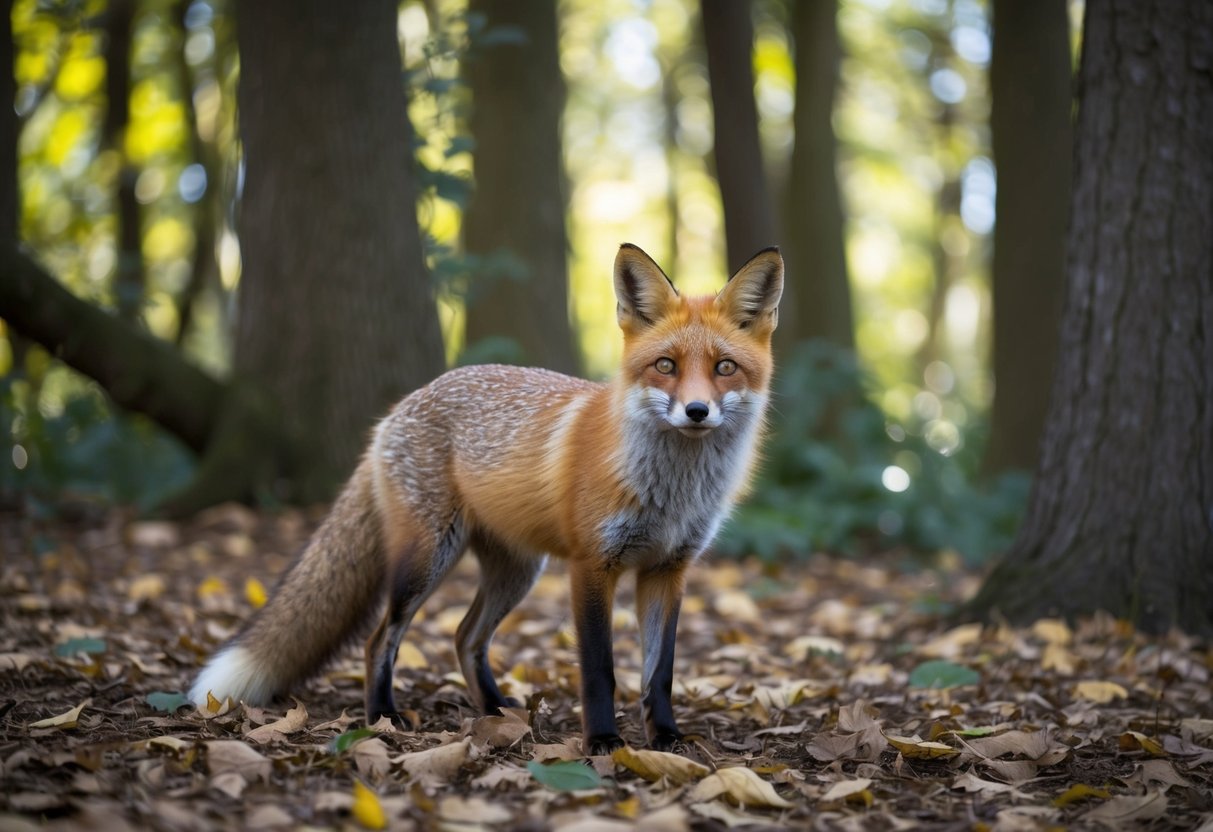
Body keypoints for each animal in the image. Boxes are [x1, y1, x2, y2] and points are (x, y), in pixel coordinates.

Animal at [189, 243, 783, 754]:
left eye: (724, 368)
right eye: (665, 366)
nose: (697, 412)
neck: (672, 492)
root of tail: (400, 408)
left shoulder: (668, 570)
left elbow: (660, 672)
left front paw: (665, 737)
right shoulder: (592, 566)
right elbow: (600, 669)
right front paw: (603, 742)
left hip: (516, 573)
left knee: (464, 636)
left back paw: (497, 711)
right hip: (425, 561)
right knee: (381, 638)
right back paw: (383, 715)